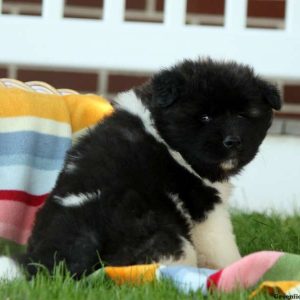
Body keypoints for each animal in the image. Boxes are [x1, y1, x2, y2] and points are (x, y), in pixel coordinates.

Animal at [0, 59, 282, 282]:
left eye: (243, 116)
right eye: (204, 118)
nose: (233, 141)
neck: (163, 132)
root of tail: (47, 260)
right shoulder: (204, 206)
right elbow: (222, 245)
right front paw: (235, 266)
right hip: (159, 229)